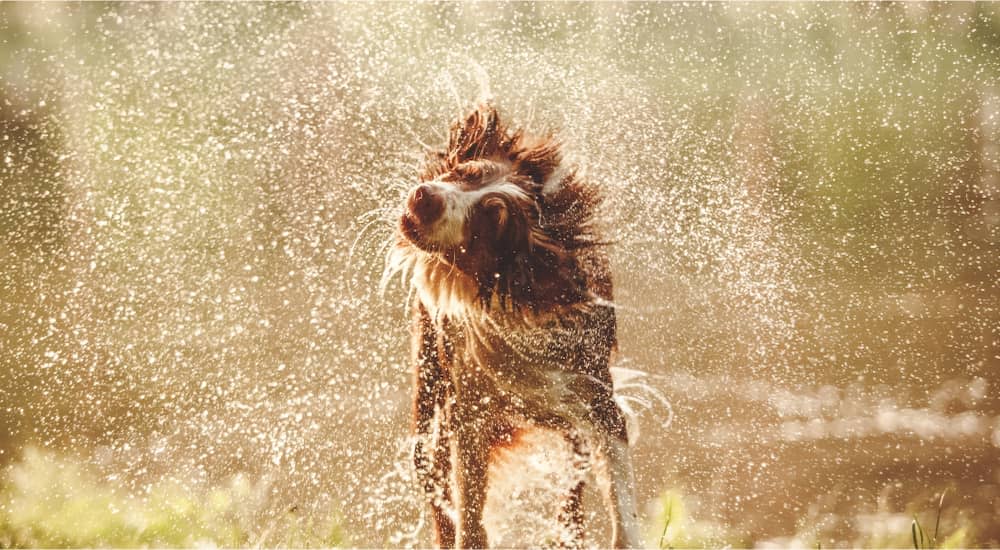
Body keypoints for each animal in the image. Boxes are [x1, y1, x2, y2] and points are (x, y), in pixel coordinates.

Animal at [382, 104, 640, 550]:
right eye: (464, 172)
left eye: (491, 220)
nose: (425, 197)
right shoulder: (468, 410)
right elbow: (468, 511)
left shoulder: (595, 397)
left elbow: (618, 495)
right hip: (430, 379)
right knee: (430, 469)